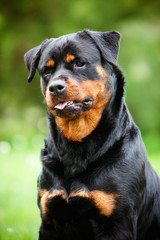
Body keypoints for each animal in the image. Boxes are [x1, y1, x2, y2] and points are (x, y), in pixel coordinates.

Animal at [24, 30, 160, 240]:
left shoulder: (118, 222)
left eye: (79, 63)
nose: (55, 87)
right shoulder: (49, 220)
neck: (76, 148)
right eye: (46, 70)